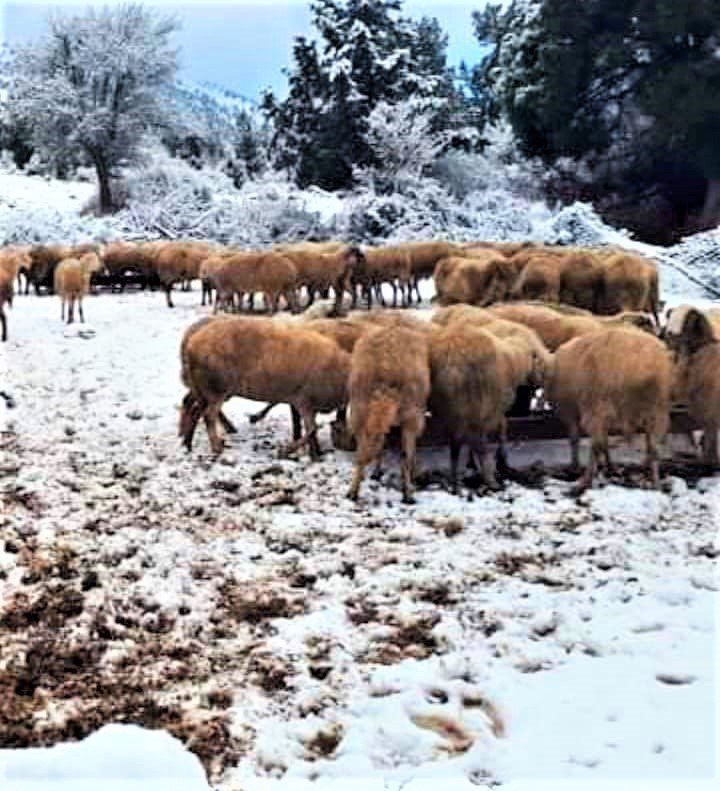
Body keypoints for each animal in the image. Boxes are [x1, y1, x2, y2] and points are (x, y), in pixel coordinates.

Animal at [179, 318, 350, 460]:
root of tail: (191, 344)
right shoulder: (305, 400)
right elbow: (312, 429)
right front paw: (304, 454)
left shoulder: (303, 402)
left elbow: (310, 429)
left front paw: (316, 452)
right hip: (216, 388)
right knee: (208, 415)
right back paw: (216, 448)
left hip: (204, 389)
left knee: (195, 411)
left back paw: (187, 444)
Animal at [544, 326, 676, 488]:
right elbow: (603, 440)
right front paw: (609, 464)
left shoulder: (571, 413)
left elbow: (575, 439)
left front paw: (575, 465)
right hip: (657, 410)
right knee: (653, 447)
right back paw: (654, 481)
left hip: (597, 405)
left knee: (596, 444)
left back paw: (585, 480)